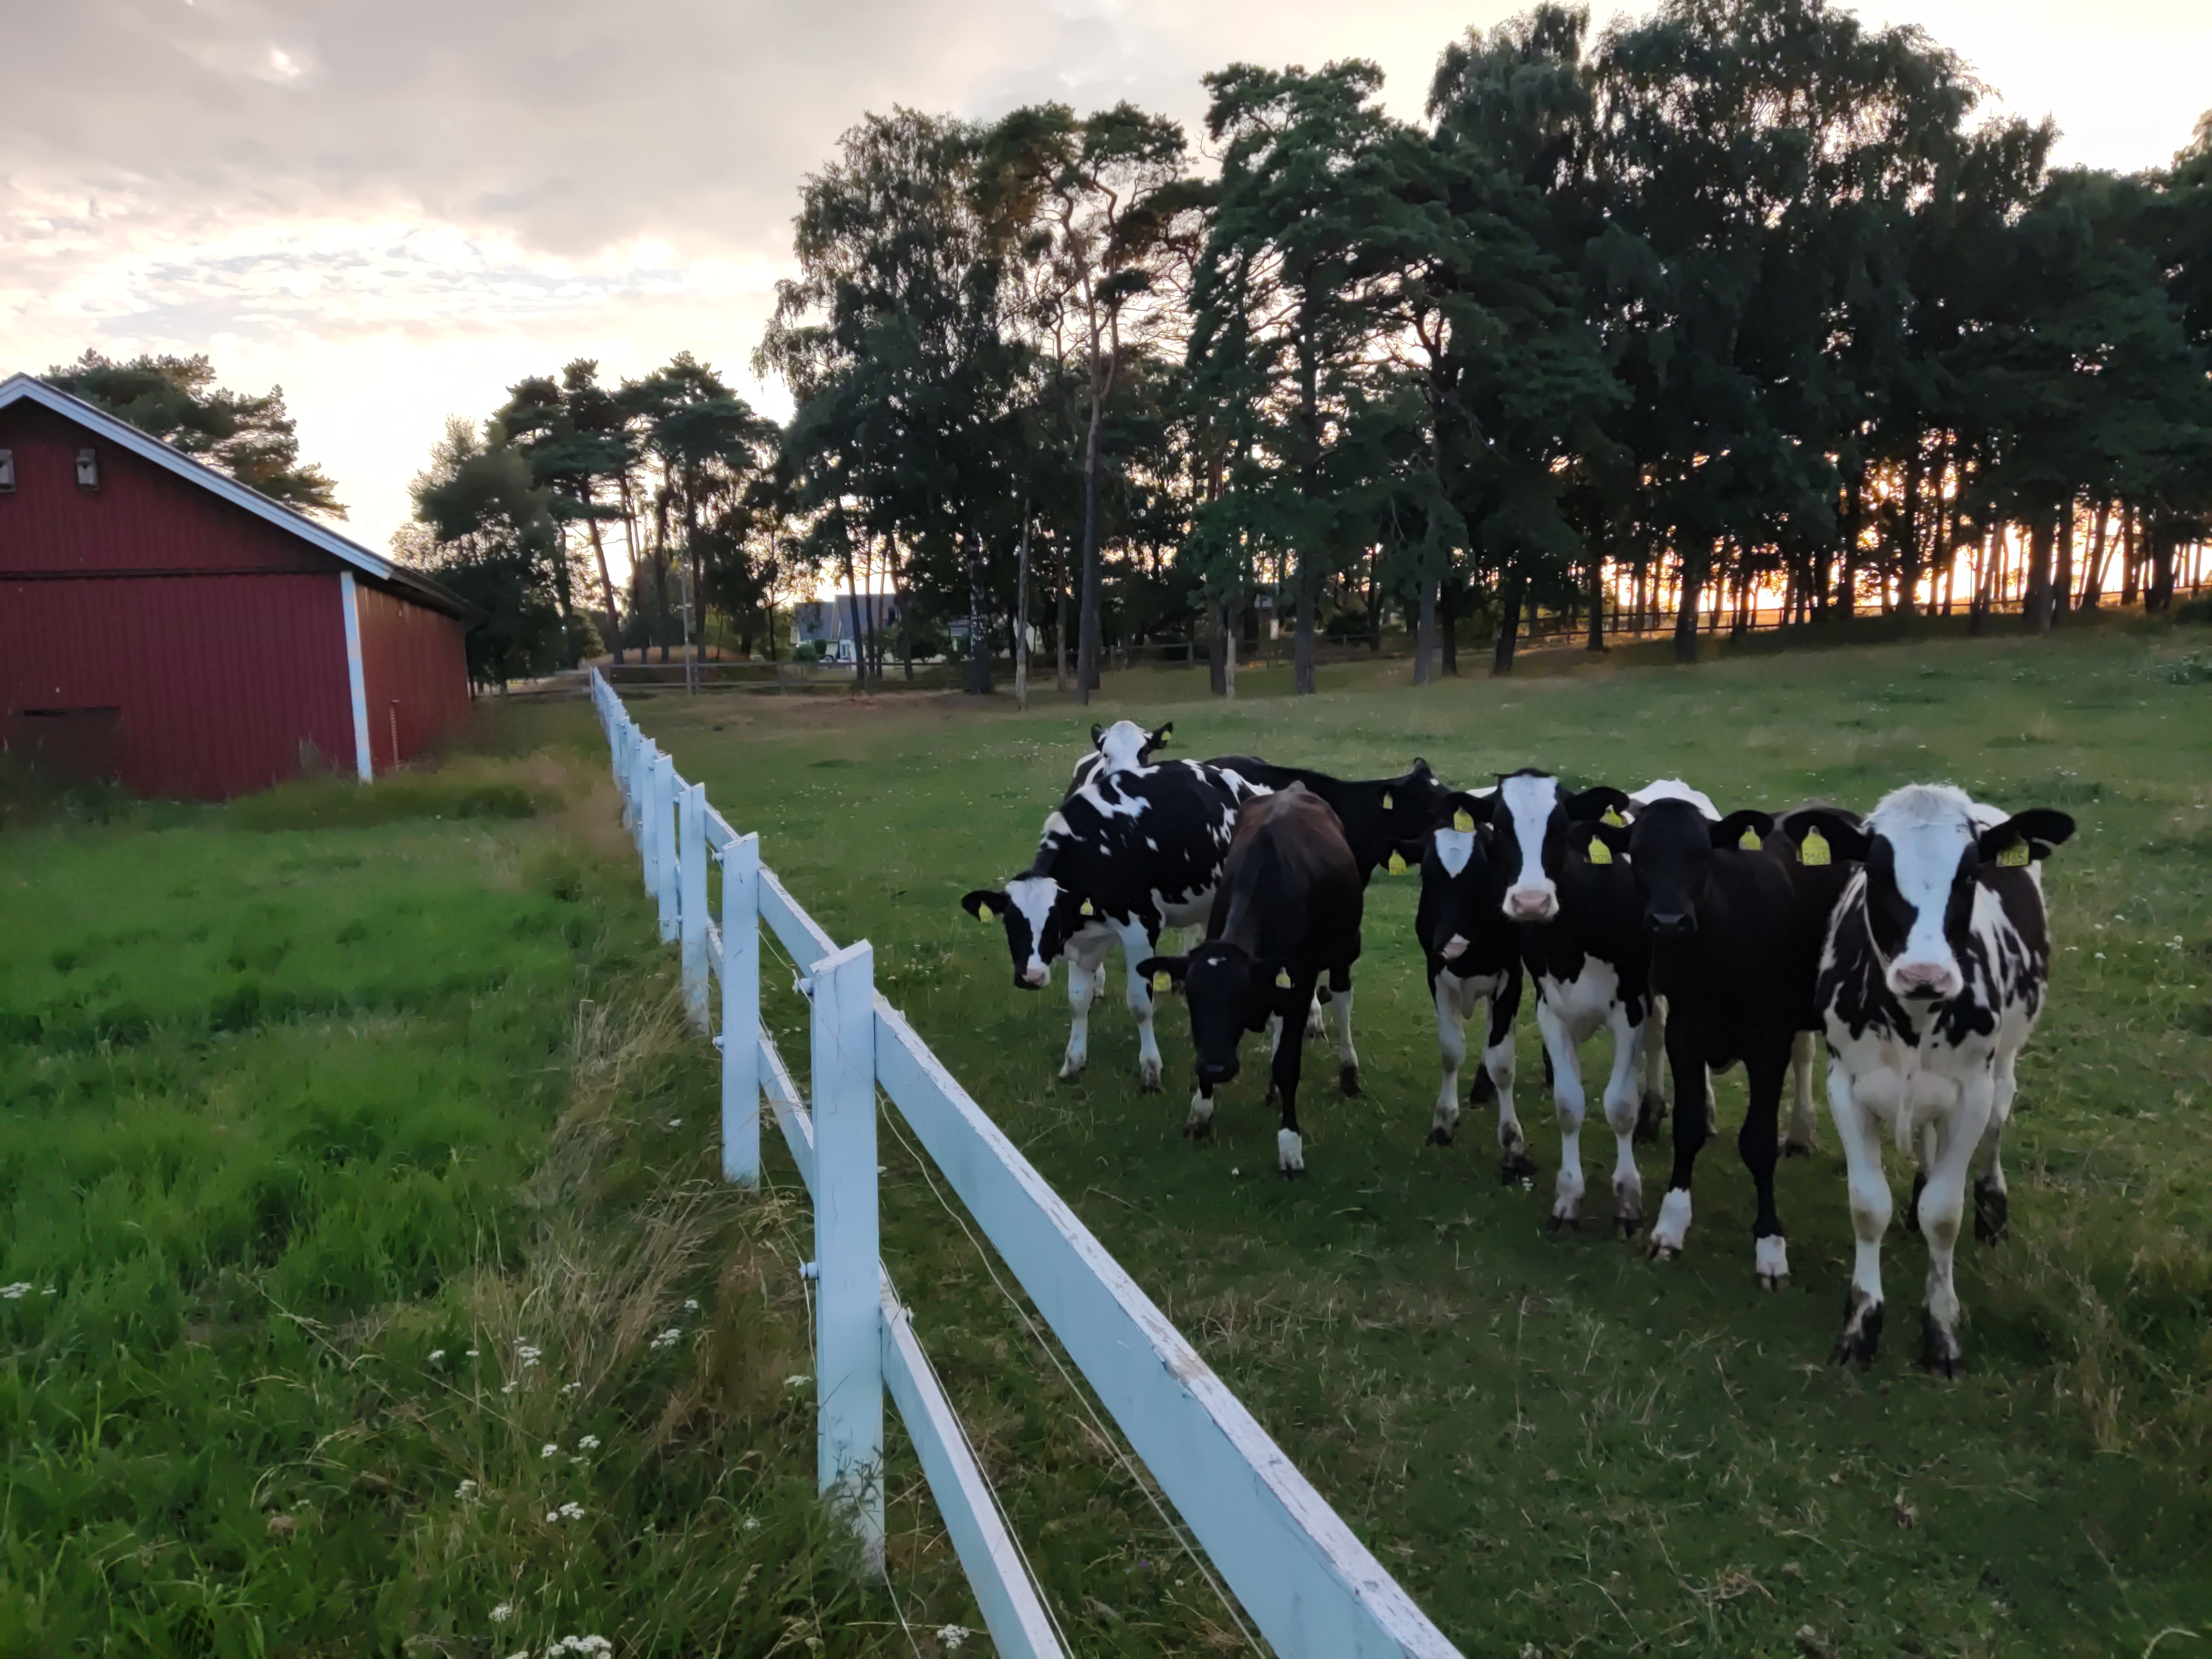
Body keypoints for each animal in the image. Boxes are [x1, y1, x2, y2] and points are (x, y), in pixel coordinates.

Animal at [964, 752, 1265, 1093]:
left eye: (1052, 921)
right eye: (1010, 923)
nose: (1031, 977)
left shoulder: (1141, 929)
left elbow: (1140, 1005)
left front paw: (1151, 1070)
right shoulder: (1081, 939)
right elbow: (1077, 1001)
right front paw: (1074, 1061)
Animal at [1141, 787, 1363, 1177]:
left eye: (1239, 998)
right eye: (1192, 999)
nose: (1217, 1068)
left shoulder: (1300, 983)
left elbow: (1288, 1063)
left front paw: (1290, 1145)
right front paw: (1201, 1114)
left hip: (1343, 951)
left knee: (1342, 998)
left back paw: (1348, 1071)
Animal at [1593, 801, 1867, 1292]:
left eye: (1703, 855)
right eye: (1638, 856)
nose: (1668, 922)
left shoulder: (1768, 1044)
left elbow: (1758, 1142)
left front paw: (1770, 1247)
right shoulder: (1686, 1034)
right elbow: (1687, 1128)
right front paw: (1671, 1226)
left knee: (1807, 1058)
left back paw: (1802, 1132)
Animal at [1805, 787, 2062, 1380]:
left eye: (1969, 873)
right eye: (1876, 870)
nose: (1925, 974)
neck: (1913, 1019)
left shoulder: (1971, 1092)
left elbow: (1944, 1216)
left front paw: (1942, 1332)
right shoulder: (1844, 1086)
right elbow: (1867, 1206)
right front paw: (1861, 1327)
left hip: (2003, 1066)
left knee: (1995, 1129)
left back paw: (1993, 1212)